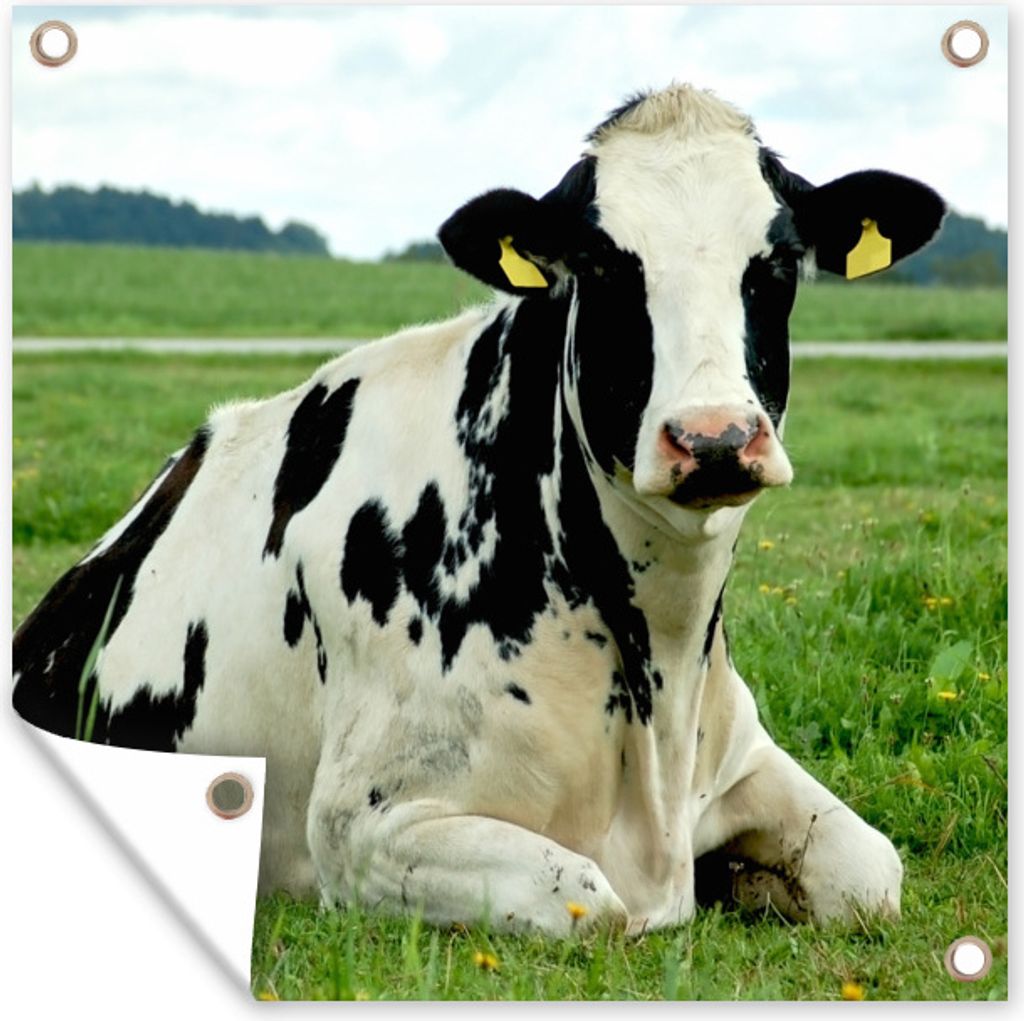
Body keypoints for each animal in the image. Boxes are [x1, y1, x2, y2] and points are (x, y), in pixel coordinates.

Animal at [13, 84, 944, 936]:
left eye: (779, 263)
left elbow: (872, 870)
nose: (713, 437)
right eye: (601, 263)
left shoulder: (742, 758)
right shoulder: (362, 827)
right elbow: (592, 901)